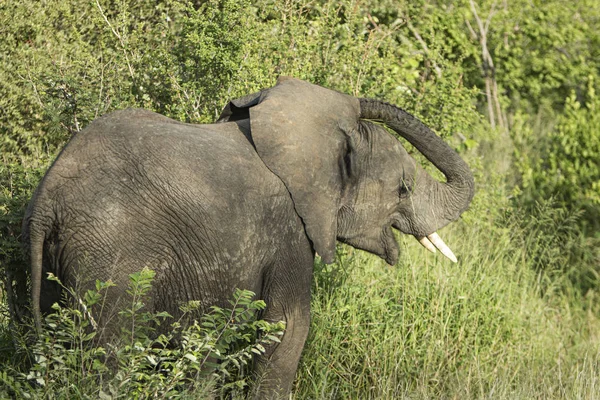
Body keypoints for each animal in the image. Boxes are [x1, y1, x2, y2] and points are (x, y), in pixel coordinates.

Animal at [21, 76, 474, 398]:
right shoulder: (290, 228)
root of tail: (48, 197)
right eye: (403, 189)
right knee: (113, 352)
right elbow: (287, 327)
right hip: (111, 254)